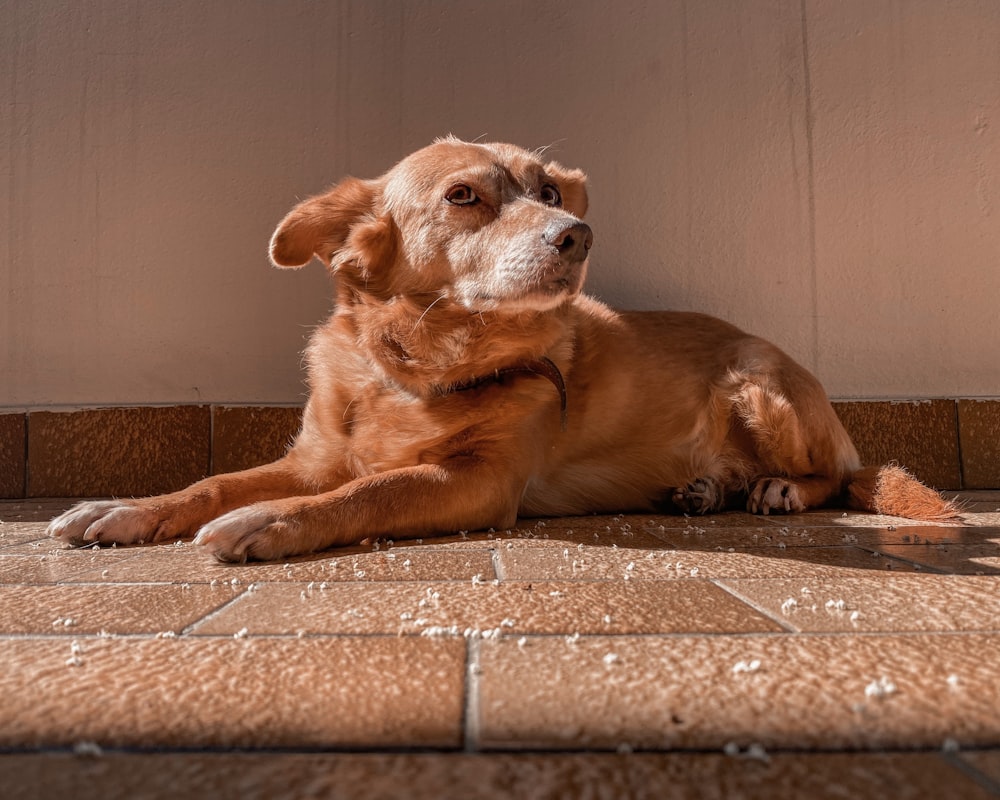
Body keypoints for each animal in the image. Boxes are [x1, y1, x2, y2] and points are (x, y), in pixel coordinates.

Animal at [50, 139, 956, 564]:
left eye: (550, 191)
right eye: (464, 196)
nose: (577, 233)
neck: (414, 371)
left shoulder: (479, 480)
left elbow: (370, 491)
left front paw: (271, 520)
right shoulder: (314, 459)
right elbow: (211, 482)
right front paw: (125, 508)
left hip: (758, 381)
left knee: (835, 475)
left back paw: (777, 488)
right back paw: (705, 489)